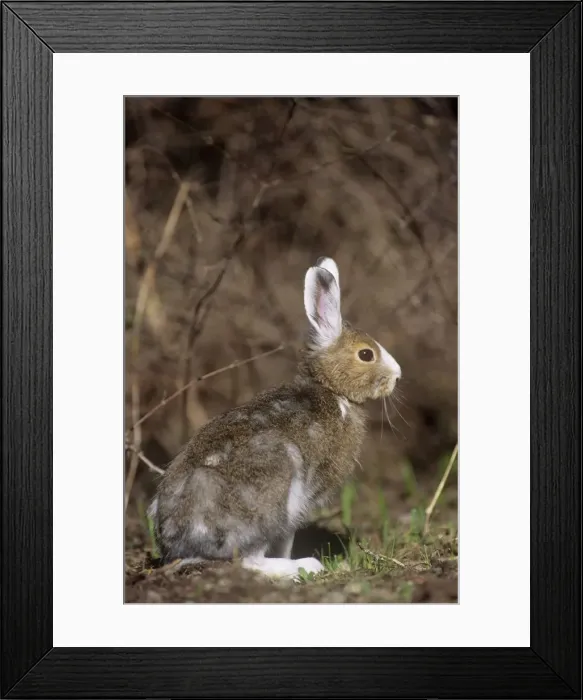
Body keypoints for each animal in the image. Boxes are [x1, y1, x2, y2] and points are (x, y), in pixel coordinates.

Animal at [147, 257, 401, 580]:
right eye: (366, 355)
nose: (397, 376)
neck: (331, 389)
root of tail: (183, 539)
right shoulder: (300, 497)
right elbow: (286, 538)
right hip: (272, 494)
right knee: (249, 560)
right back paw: (305, 566)